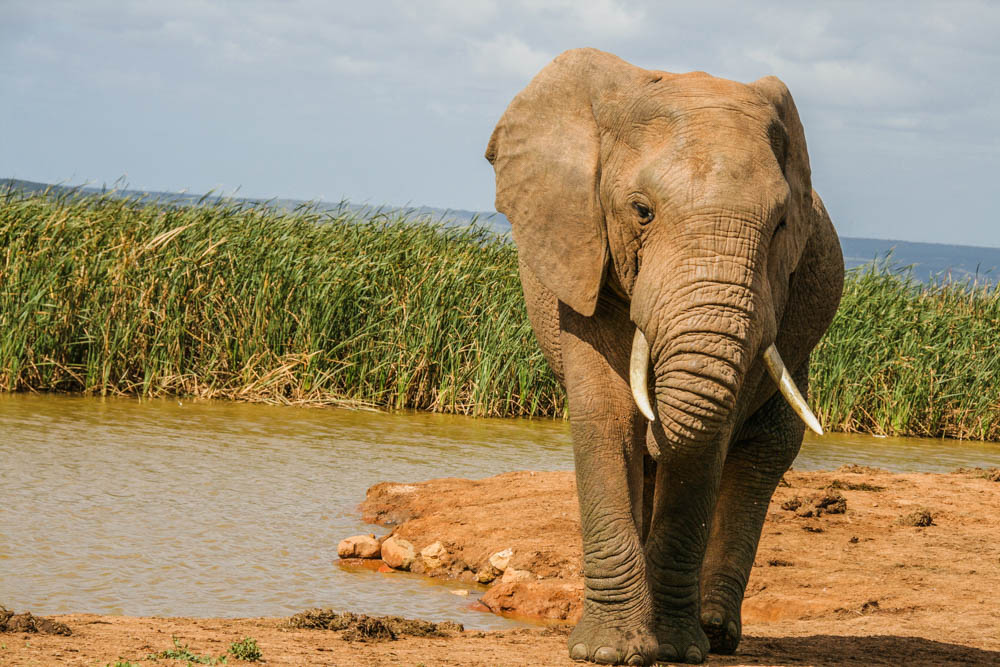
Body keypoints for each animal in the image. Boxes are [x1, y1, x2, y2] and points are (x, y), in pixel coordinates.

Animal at [484, 48, 844, 667]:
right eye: (642, 212)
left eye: (781, 226)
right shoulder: (582, 254)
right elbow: (606, 414)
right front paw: (610, 653)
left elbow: (707, 440)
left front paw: (675, 649)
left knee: (764, 455)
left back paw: (716, 633)